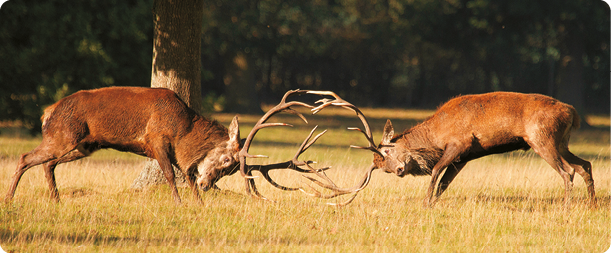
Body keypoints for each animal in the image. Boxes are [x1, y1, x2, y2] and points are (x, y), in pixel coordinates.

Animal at [2, 86, 358, 205]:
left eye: (231, 171)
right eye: (227, 161)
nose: (208, 184)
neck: (183, 126)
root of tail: (48, 111)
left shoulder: (174, 151)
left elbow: (185, 172)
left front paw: (198, 202)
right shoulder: (156, 139)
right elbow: (174, 175)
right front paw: (181, 202)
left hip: (82, 145)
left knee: (48, 164)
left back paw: (56, 199)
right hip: (64, 135)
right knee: (25, 156)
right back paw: (9, 197)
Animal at [306, 91, 596, 208]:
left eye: (386, 152)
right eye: (383, 169)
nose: (399, 170)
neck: (435, 135)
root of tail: (573, 113)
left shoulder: (461, 142)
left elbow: (435, 170)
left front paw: (425, 203)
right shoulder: (463, 158)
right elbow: (445, 183)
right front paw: (433, 202)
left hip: (542, 139)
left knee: (568, 171)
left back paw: (567, 207)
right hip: (561, 142)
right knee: (585, 165)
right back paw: (591, 204)